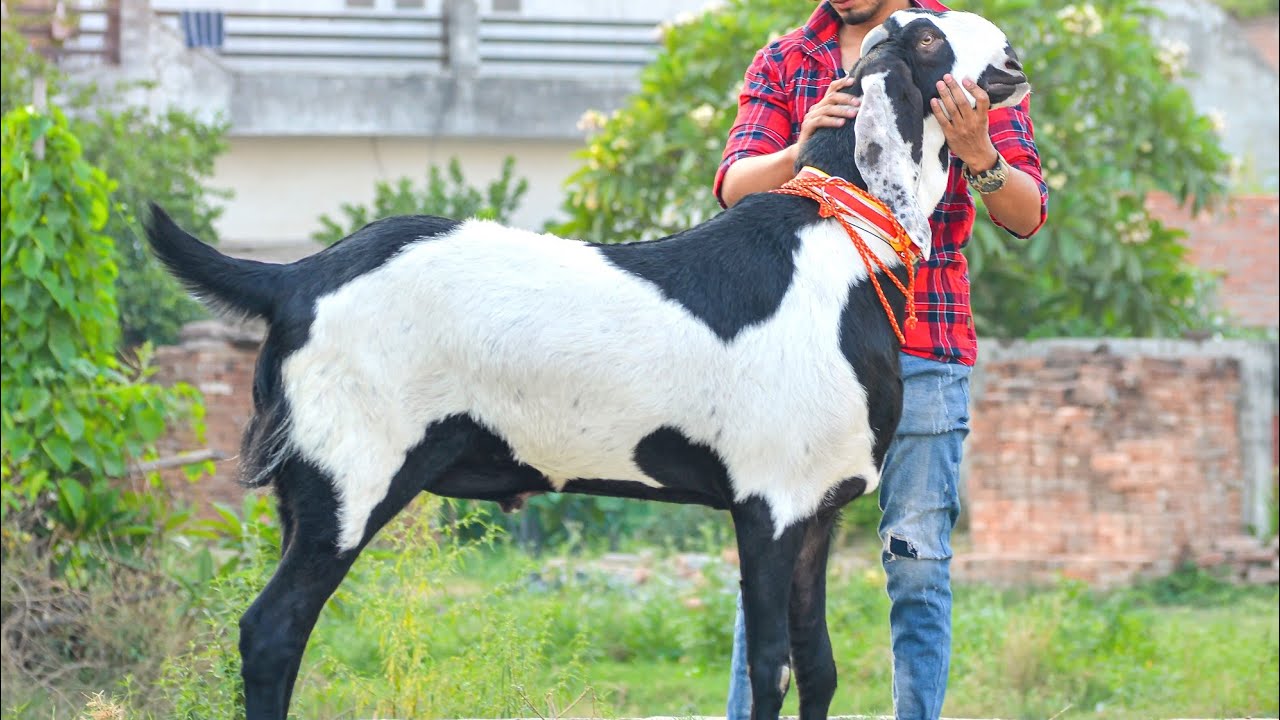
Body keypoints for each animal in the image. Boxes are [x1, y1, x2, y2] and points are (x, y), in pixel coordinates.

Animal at [146, 9, 1028, 719]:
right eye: (926, 38)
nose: (1012, 46)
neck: (840, 234)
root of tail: (296, 276)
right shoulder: (768, 508)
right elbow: (770, 670)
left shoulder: (817, 511)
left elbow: (818, 669)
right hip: (350, 484)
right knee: (271, 630)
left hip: (305, 500)